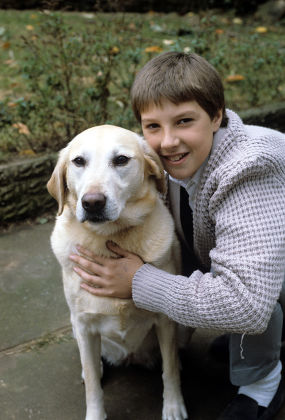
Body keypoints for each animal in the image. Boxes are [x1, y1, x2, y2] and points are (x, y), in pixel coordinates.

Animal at [47, 124, 187, 420]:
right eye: (79, 161)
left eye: (121, 160)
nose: (92, 203)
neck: (109, 238)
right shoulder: (84, 325)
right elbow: (93, 387)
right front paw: (95, 413)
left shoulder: (165, 321)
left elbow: (169, 369)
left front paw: (172, 406)